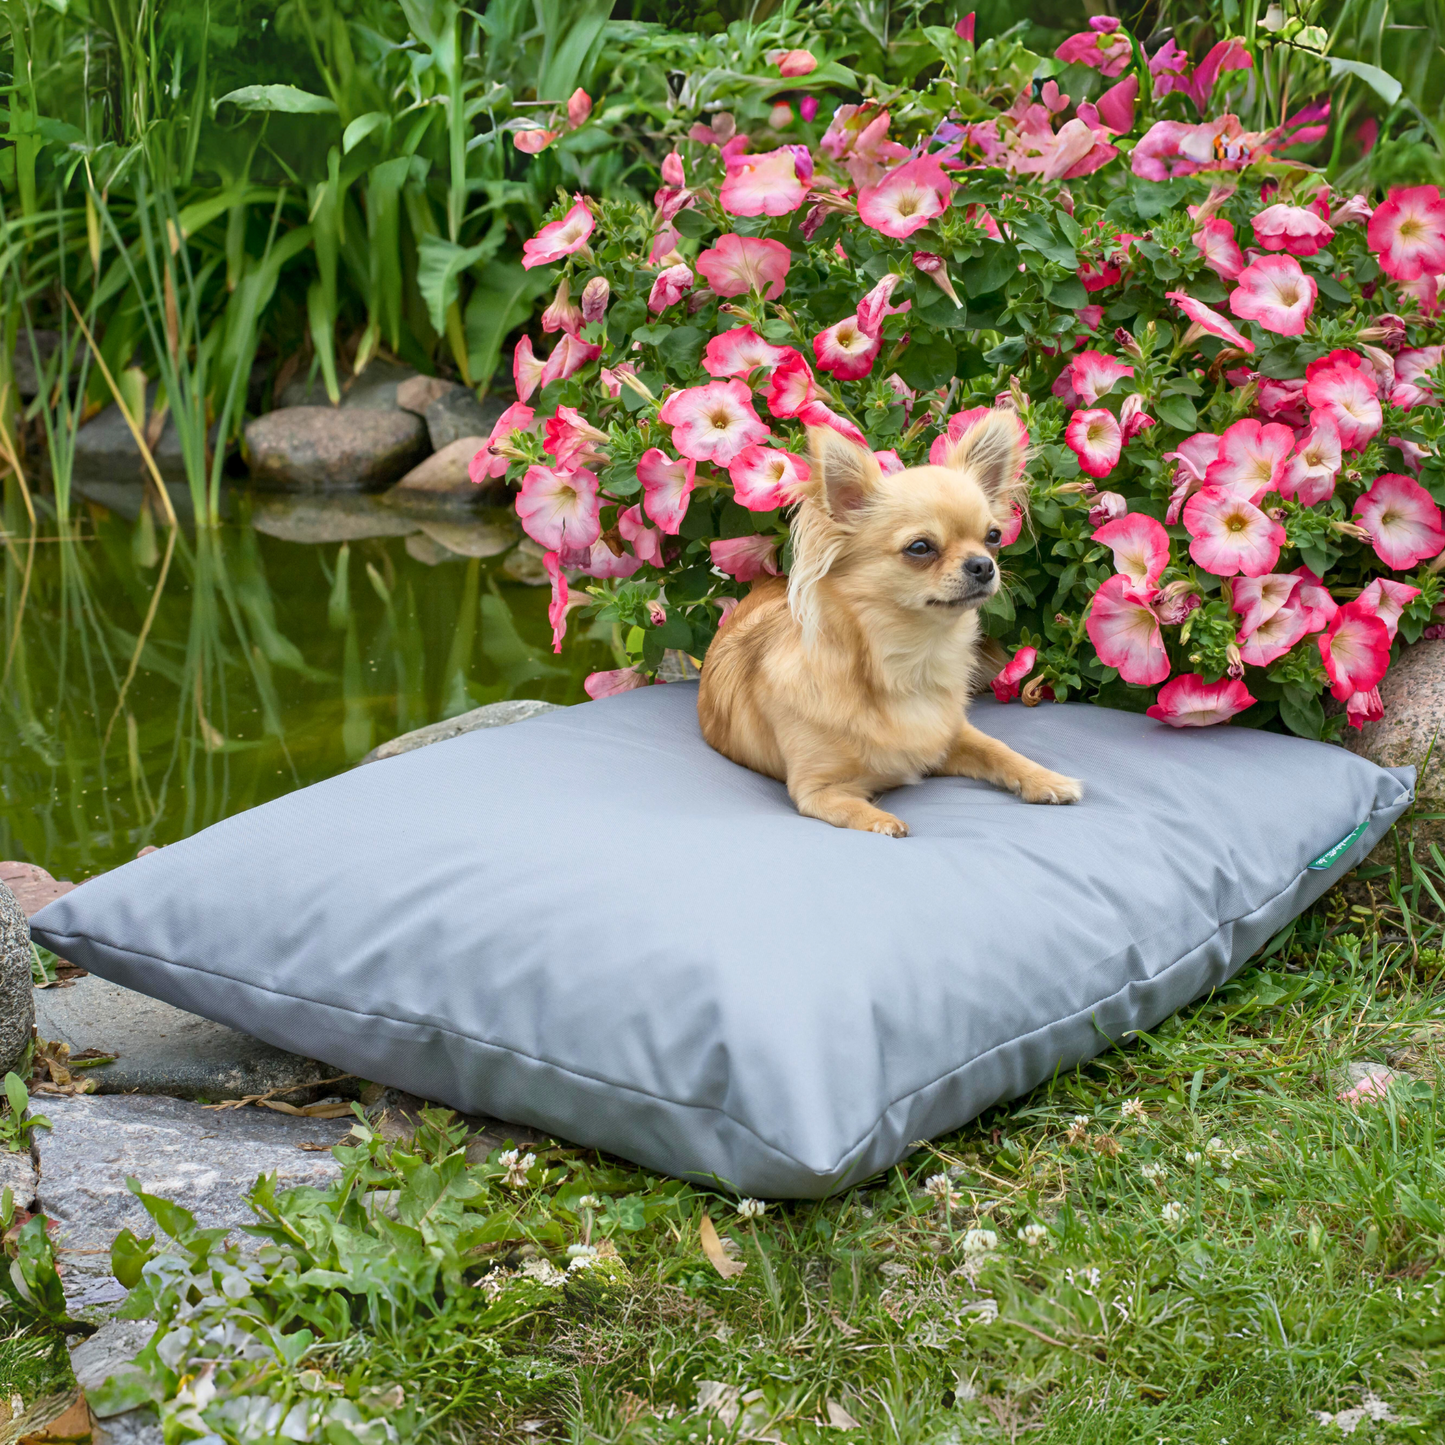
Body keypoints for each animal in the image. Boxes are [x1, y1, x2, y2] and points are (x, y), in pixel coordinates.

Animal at [693, 410, 1080, 838]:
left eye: (993, 536)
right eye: (920, 547)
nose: (984, 564)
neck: (910, 664)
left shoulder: (950, 738)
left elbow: (998, 749)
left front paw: (1045, 778)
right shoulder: (817, 791)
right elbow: (852, 807)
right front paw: (882, 821)